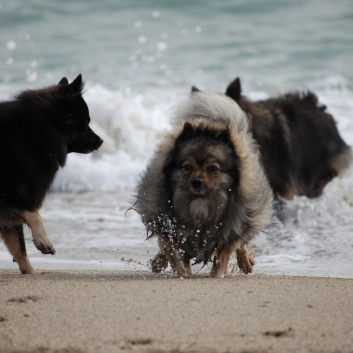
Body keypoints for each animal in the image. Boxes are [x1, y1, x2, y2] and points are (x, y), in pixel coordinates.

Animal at [0, 74, 103, 272]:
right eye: (85, 122)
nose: (101, 141)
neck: (31, 134)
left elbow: (20, 249)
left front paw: (30, 272)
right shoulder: (8, 197)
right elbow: (33, 213)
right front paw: (43, 241)